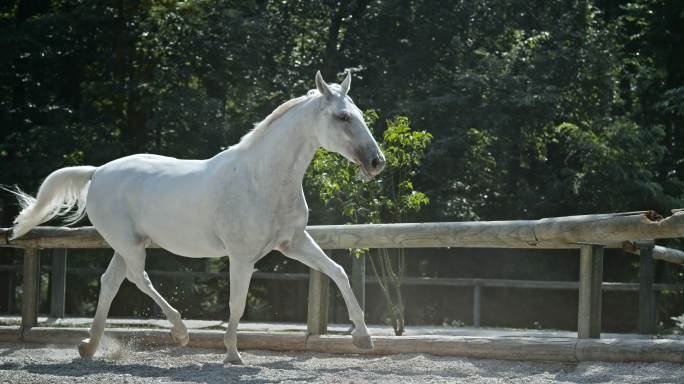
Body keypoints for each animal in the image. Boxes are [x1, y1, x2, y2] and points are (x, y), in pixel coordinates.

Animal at [8, 71, 384, 364]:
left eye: (358, 113)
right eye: (343, 117)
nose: (377, 162)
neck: (262, 179)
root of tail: (97, 171)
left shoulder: (294, 243)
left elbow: (338, 272)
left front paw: (363, 338)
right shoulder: (242, 257)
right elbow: (237, 303)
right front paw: (232, 354)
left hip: (125, 245)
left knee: (111, 282)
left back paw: (89, 346)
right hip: (129, 244)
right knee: (139, 277)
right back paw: (180, 332)